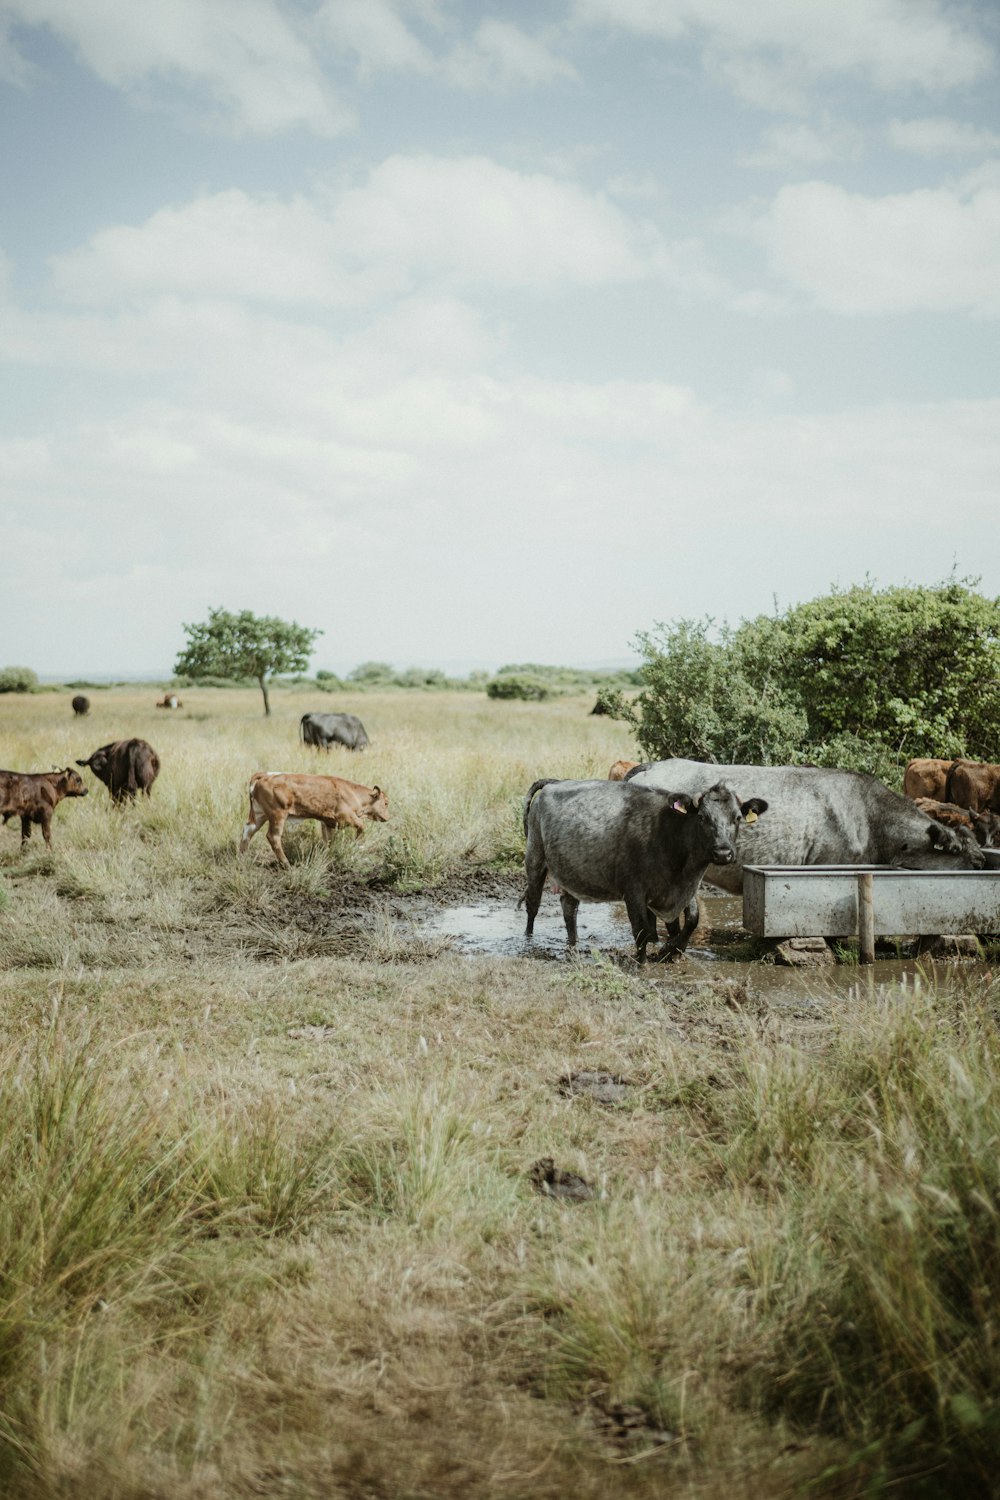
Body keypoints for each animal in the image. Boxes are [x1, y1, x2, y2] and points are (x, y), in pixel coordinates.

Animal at [238, 774, 389, 870]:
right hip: (278, 815)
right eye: (386, 802)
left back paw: (242, 859)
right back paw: (287, 865)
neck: (353, 793)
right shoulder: (345, 816)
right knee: (273, 837)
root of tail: (264, 776)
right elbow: (362, 827)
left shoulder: (328, 823)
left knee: (247, 832)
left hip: (259, 815)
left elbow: (329, 841)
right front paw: (357, 845)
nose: (388, 817)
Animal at [521, 774, 773, 960]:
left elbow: (691, 919)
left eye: (737, 818)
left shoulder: (684, 887)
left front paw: (671, 950)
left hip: (573, 873)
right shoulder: (633, 891)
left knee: (568, 907)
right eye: (702, 817)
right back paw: (527, 941)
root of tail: (556, 782)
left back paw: (573, 946)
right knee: (532, 905)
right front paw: (642, 963)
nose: (723, 853)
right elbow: (642, 931)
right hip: (535, 858)